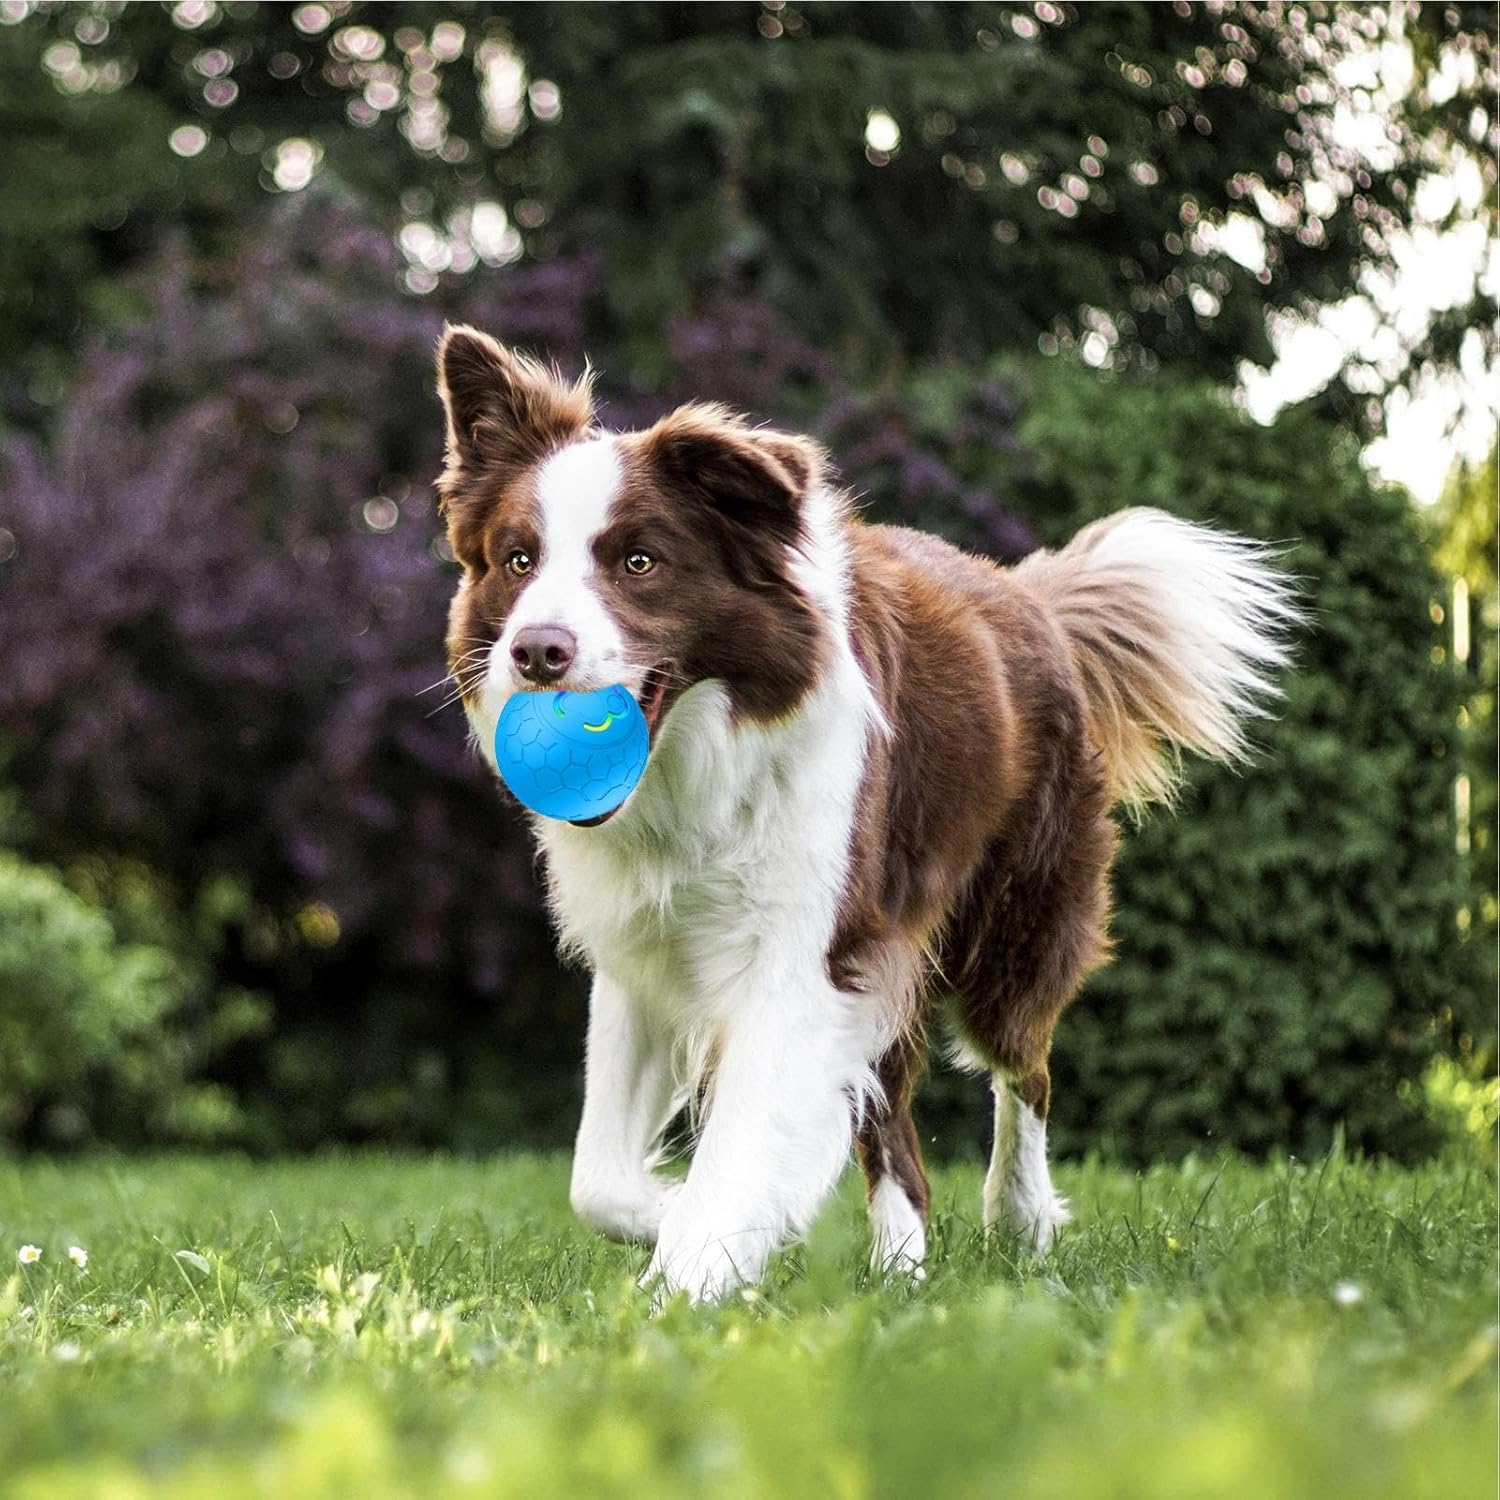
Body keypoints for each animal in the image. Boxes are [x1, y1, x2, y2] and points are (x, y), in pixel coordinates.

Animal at [438, 325, 1302, 1302]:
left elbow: (739, 1143)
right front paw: (690, 1223)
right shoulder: (648, 952)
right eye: (519, 560)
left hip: (1012, 924)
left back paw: (1019, 1218)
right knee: (895, 1128)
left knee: (1025, 1069)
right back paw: (901, 1268)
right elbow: (598, 1180)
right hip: (890, 950)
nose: (536, 651)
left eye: (639, 562)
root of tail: (1028, 595)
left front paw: (694, 1272)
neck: (699, 768)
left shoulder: (806, 953)